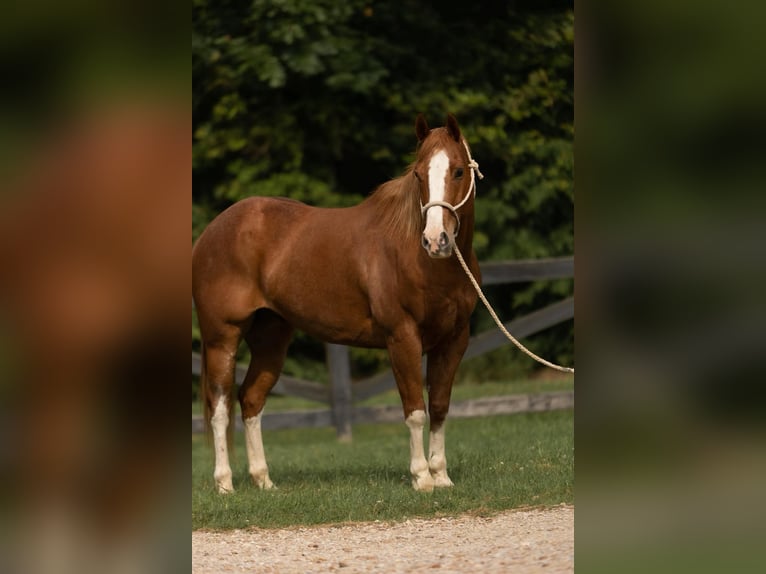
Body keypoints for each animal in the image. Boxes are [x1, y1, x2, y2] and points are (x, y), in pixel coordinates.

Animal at [192, 113, 480, 496]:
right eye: (418, 174)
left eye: (458, 171)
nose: (436, 240)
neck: (424, 262)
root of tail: (209, 233)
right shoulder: (402, 337)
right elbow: (415, 410)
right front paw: (421, 478)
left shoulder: (453, 341)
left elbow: (440, 406)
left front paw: (442, 476)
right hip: (222, 338)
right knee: (220, 406)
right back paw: (225, 483)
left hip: (271, 338)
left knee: (251, 399)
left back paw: (263, 480)